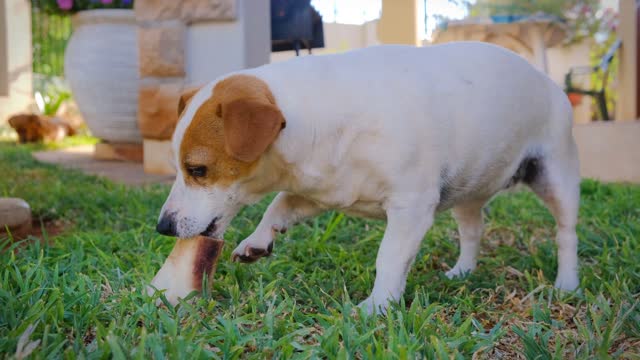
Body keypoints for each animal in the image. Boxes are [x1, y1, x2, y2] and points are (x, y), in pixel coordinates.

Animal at [151, 41, 580, 312]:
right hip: (468, 190)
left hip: (555, 177)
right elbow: (278, 207)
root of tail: (545, 78)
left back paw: (567, 283)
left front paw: (378, 304)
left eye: (198, 170)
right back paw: (462, 271)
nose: (163, 227)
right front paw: (257, 240)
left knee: (566, 234)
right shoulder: (317, 192)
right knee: (473, 230)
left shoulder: (411, 207)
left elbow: (389, 257)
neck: (319, 118)